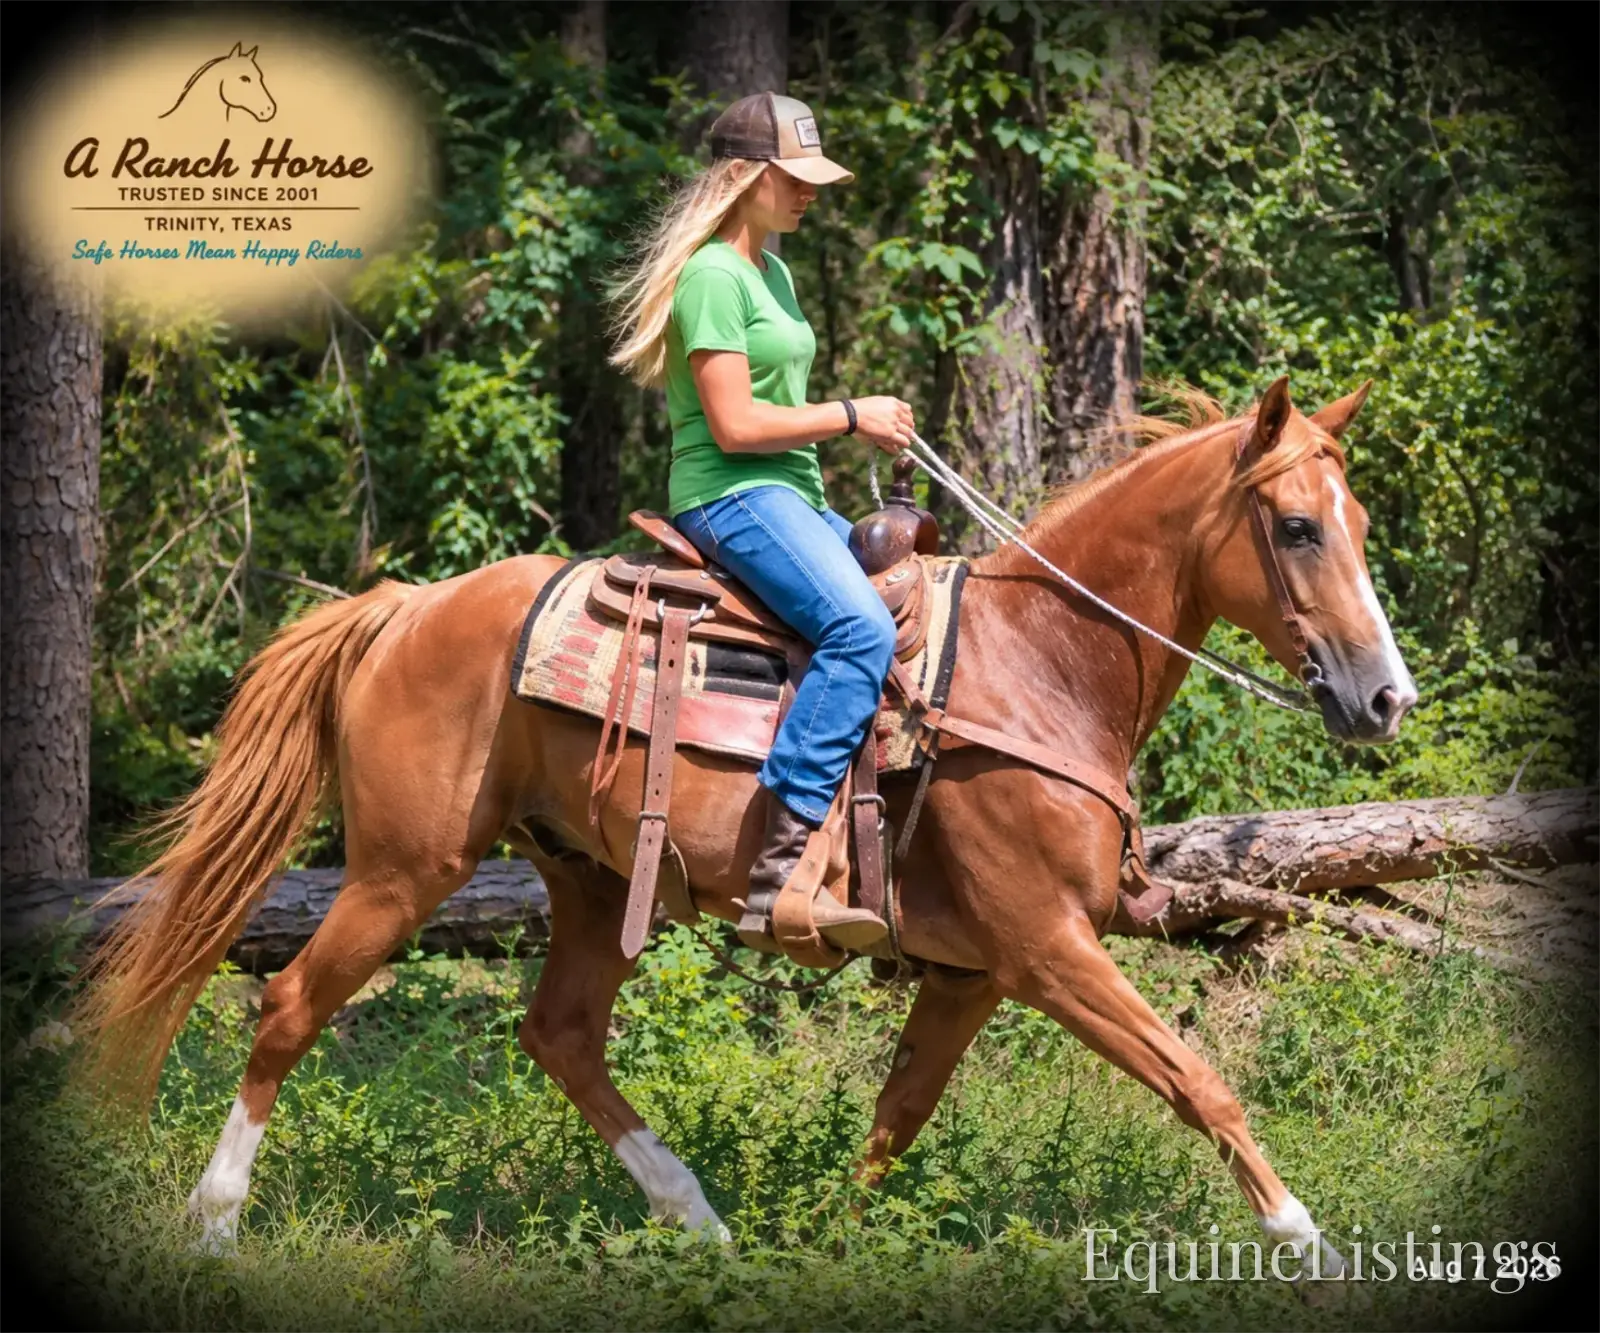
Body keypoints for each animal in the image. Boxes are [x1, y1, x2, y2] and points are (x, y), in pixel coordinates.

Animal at [71, 376, 1416, 1281]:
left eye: (1357, 523)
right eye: (1296, 526)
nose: (1384, 697)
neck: (1035, 664)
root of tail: (403, 607)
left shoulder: (973, 973)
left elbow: (895, 1118)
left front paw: (825, 1249)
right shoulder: (1047, 950)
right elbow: (1201, 1083)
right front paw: (1312, 1251)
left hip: (588, 878)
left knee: (559, 1035)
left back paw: (700, 1222)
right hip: (406, 870)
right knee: (290, 1004)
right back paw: (214, 1225)